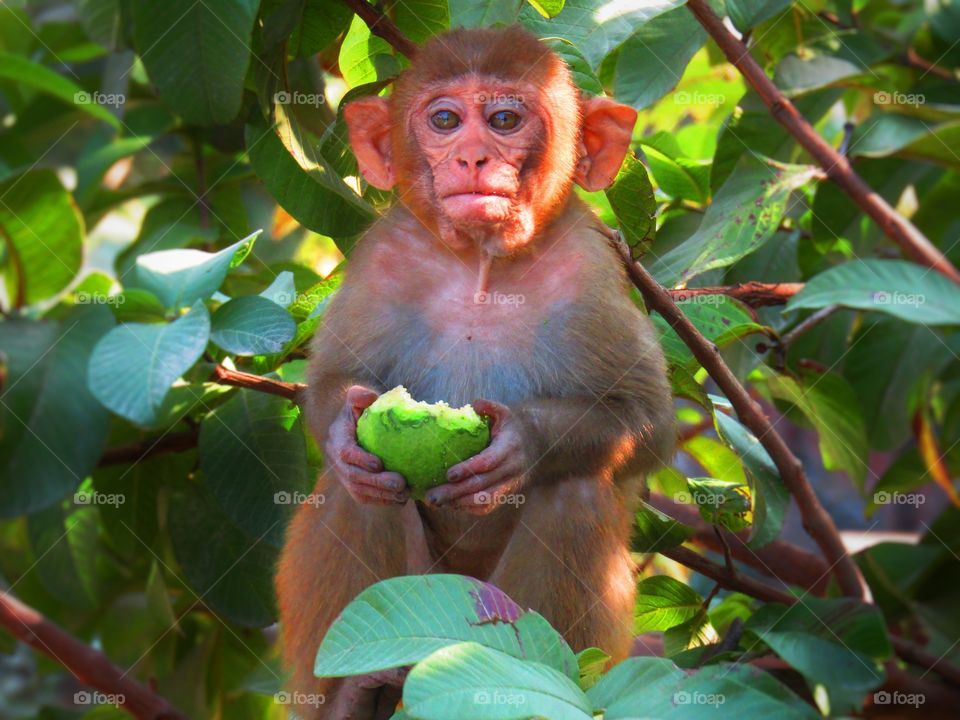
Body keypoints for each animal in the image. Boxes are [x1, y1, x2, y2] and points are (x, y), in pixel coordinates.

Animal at [275, 25, 675, 719]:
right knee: (360, 493)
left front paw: (519, 446)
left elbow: (645, 421)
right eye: (444, 121)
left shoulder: (593, 269)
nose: (472, 158)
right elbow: (332, 386)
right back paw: (350, 695)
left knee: (575, 492)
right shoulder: (384, 257)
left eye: (504, 120)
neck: (482, 267)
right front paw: (344, 434)